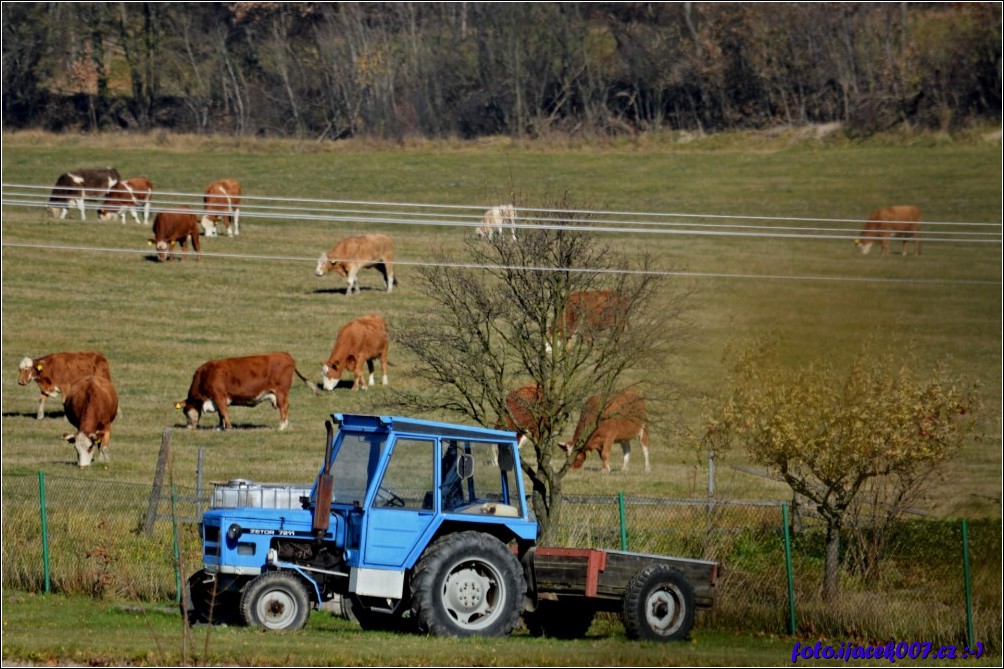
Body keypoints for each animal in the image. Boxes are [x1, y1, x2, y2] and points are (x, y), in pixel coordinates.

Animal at [173, 351, 313, 429]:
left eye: (185, 412)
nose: (189, 427)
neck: (205, 375)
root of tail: (285, 354)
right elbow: (220, 415)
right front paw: (220, 427)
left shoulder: (219, 395)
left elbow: (224, 412)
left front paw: (228, 427)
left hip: (281, 392)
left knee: (283, 406)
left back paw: (282, 426)